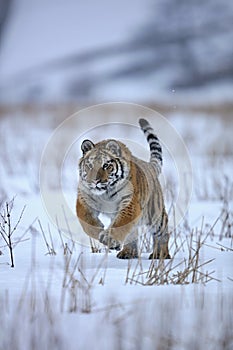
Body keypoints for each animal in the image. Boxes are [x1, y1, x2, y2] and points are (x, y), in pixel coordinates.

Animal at [75, 119, 170, 258]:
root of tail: (149, 166)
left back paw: (160, 254)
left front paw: (109, 238)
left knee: (163, 232)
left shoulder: (129, 202)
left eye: (106, 165)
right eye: (90, 165)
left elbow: (121, 222)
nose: (95, 181)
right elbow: (85, 221)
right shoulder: (84, 199)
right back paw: (128, 253)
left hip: (155, 214)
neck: (105, 192)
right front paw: (100, 229)